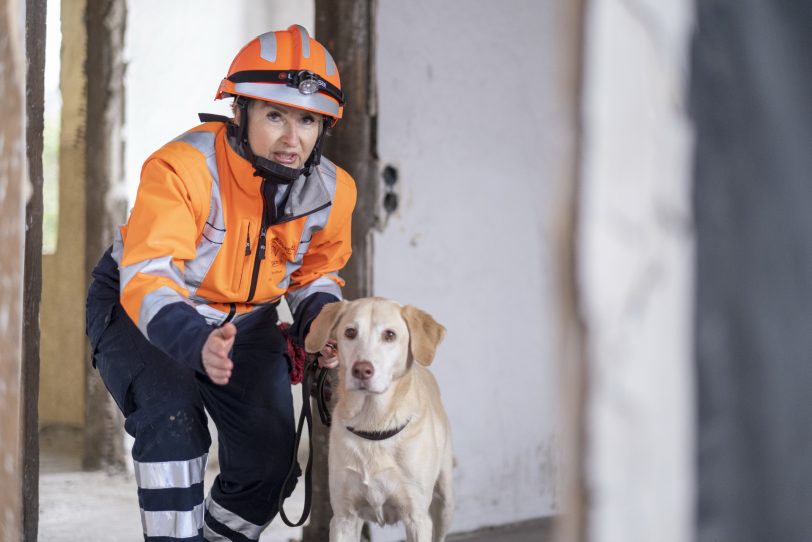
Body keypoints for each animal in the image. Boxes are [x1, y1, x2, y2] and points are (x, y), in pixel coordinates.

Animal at [306, 300, 454, 540]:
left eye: (389, 335)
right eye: (350, 332)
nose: (361, 370)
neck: (373, 423)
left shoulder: (417, 518)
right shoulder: (343, 518)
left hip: (445, 502)